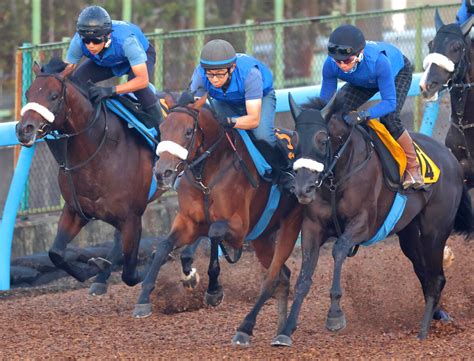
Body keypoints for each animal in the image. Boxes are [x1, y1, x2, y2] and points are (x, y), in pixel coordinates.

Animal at [16, 59, 166, 294]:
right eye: (28, 93)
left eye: (53, 96)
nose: (24, 130)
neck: (101, 151)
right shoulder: (75, 210)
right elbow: (56, 254)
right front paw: (95, 269)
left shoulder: (132, 217)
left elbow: (130, 274)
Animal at [132, 93, 304, 346]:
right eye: (162, 129)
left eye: (188, 131)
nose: (162, 172)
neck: (208, 174)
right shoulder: (188, 222)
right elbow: (164, 246)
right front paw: (144, 297)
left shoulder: (239, 228)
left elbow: (213, 233)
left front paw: (213, 291)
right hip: (262, 238)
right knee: (283, 276)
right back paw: (280, 329)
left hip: (290, 224)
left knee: (274, 276)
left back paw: (249, 329)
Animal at [268, 94, 472, 344]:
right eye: (294, 142)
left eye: (323, 140)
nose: (303, 188)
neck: (338, 177)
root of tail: (452, 160)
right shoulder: (312, 227)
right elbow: (304, 276)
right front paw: (285, 330)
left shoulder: (364, 224)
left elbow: (338, 249)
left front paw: (335, 314)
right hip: (409, 234)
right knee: (425, 273)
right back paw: (438, 315)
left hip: (435, 231)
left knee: (436, 279)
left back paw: (423, 330)